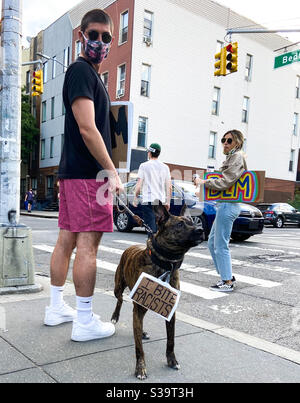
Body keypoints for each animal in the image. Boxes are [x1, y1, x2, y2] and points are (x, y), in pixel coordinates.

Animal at [111, 207, 203, 380]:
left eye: (192, 221)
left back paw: (141, 332)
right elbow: (139, 348)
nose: (201, 230)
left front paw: (172, 360)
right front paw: (140, 368)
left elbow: (171, 340)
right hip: (118, 287)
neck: (165, 264)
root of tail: (130, 247)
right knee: (120, 300)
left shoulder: (170, 311)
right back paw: (115, 316)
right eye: (180, 224)